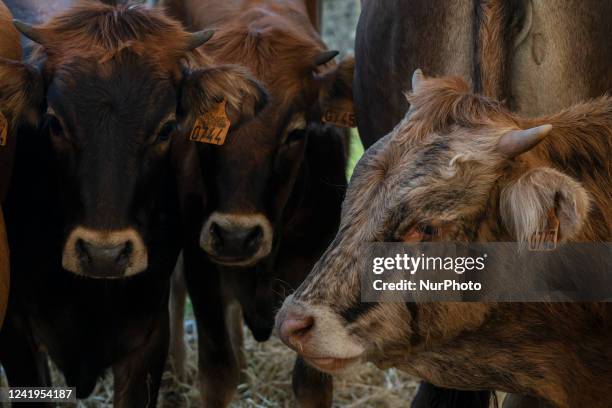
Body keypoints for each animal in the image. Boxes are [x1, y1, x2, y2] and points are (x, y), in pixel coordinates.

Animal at [163, 0, 354, 404]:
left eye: (295, 132)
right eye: (205, 130)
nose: (236, 237)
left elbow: (312, 384)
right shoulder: (203, 273)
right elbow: (218, 374)